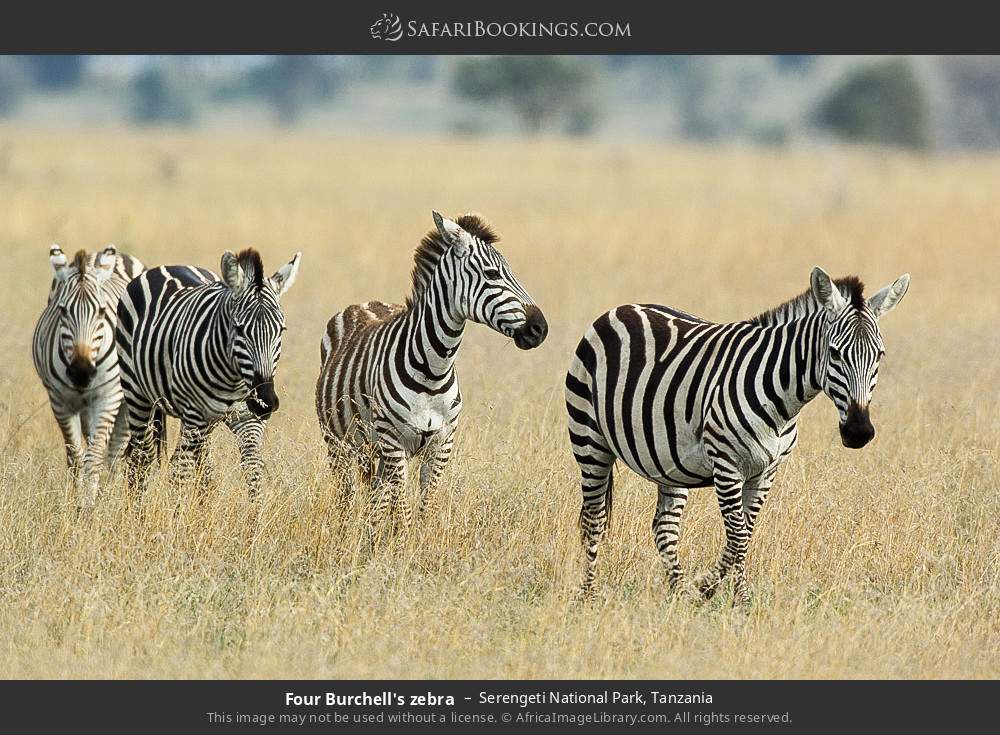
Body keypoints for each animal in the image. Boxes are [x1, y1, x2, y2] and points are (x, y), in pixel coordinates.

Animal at [32, 244, 145, 509]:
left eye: (102, 311)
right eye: (62, 310)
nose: (81, 372)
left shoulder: (108, 397)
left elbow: (94, 457)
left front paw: (89, 508)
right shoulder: (60, 402)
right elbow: (75, 456)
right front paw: (75, 502)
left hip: (128, 399)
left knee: (114, 450)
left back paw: (109, 496)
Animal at [115, 248, 301, 497]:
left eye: (281, 330)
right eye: (240, 329)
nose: (266, 402)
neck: (232, 376)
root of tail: (167, 266)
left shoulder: (247, 416)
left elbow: (253, 467)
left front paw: (258, 509)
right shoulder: (194, 413)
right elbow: (181, 471)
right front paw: (179, 509)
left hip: (203, 422)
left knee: (201, 464)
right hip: (139, 397)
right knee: (142, 459)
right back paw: (138, 507)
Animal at [316, 211, 548, 531]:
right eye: (491, 274)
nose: (540, 329)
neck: (432, 371)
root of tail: (365, 303)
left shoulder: (442, 445)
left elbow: (427, 507)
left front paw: (421, 541)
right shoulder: (394, 442)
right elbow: (402, 512)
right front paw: (401, 542)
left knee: (376, 497)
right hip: (339, 443)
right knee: (346, 496)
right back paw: (346, 531)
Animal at [565, 267, 910, 607]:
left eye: (880, 355)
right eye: (835, 354)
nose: (858, 432)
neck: (781, 398)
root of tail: (620, 309)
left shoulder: (766, 471)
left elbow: (745, 532)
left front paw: (717, 593)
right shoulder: (727, 464)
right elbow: (738, 535)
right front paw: (728, 596)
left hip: (669, 462)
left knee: (664, 527)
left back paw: (678, 594)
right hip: (589, 440)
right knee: (593, 520)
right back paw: (588, 594)